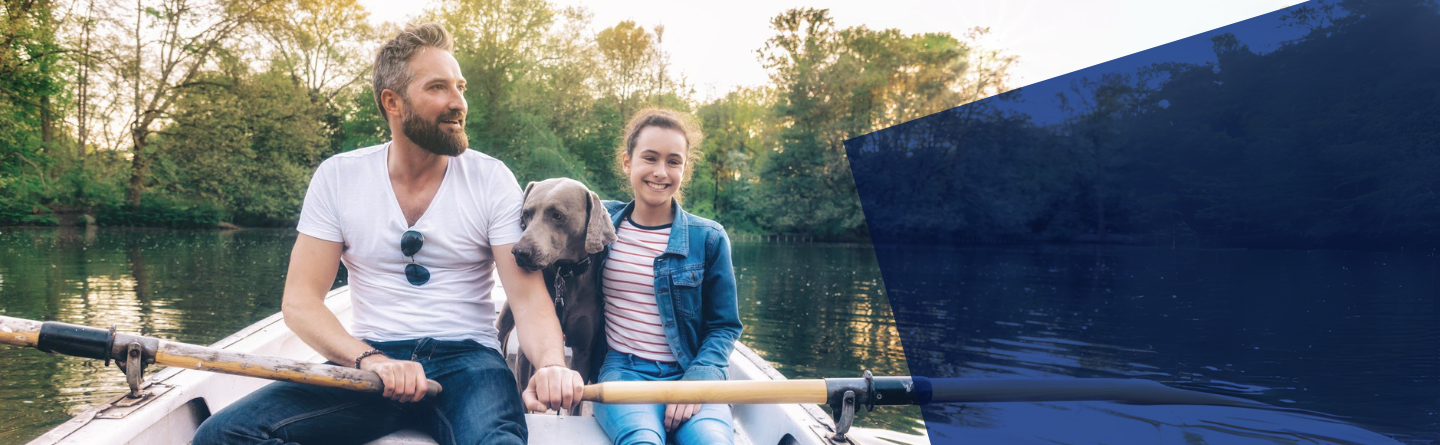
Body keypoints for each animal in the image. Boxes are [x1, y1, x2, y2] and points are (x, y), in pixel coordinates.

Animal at [498, 176, 616, 394]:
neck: (565, 274)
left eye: (557, 215)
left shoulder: (583, 351)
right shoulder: (527, 349)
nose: (519, 252)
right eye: (526, 213)